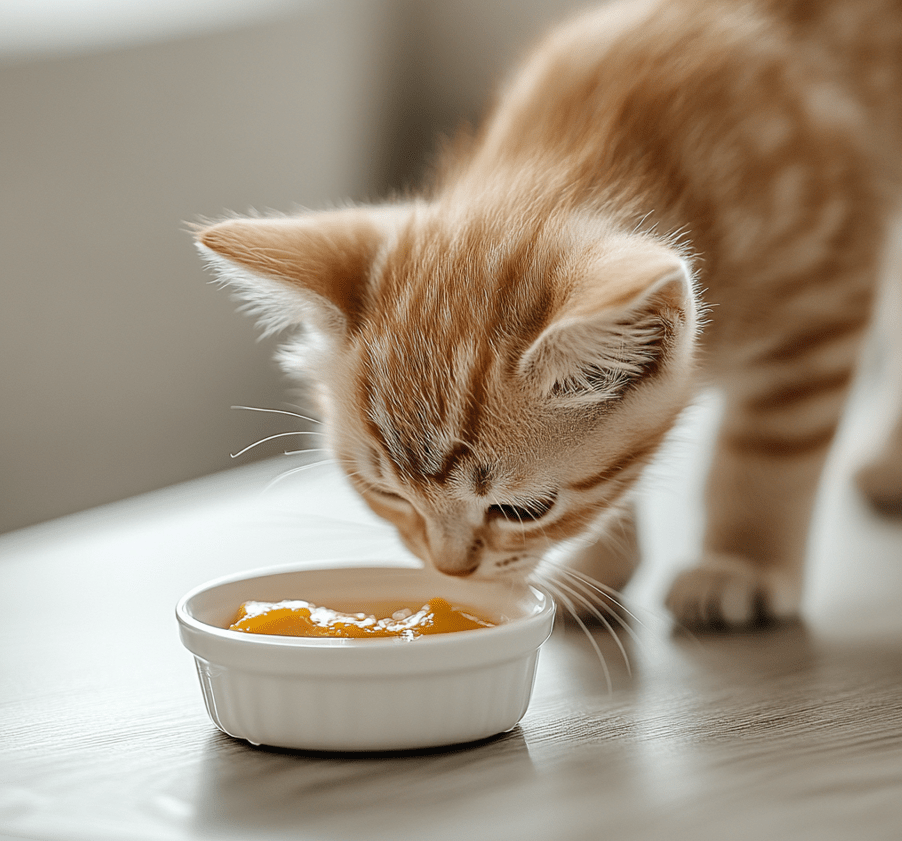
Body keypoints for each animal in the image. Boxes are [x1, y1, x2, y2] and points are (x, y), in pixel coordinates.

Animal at [196, 0, 902, 628]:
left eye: (522, 511)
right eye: (389, 495)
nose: (450, 570)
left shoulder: (826, 293)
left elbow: (767, 456)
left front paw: (741, 562)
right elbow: (620, 471)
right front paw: (599, 569)